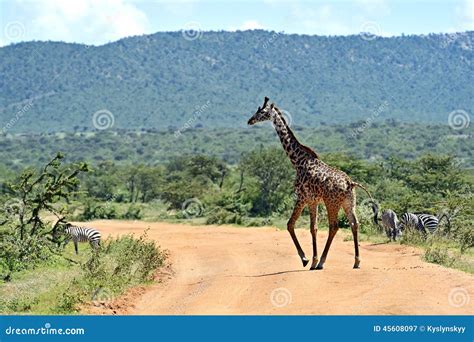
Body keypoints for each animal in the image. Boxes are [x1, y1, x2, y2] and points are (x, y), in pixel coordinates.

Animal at [246, 96, 376, 270]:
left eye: (262, 111)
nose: (250, 120)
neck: (297, 161)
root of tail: (350, 183)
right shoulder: (313, 201)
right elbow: (313, 228)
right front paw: (312, 260)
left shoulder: (302, 197)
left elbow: (290, 224)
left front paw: (307, 259)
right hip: (349, 203)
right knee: (355, 224)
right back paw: (356, 261)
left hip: (332, 202)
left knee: (334, 226)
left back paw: (322, 262)